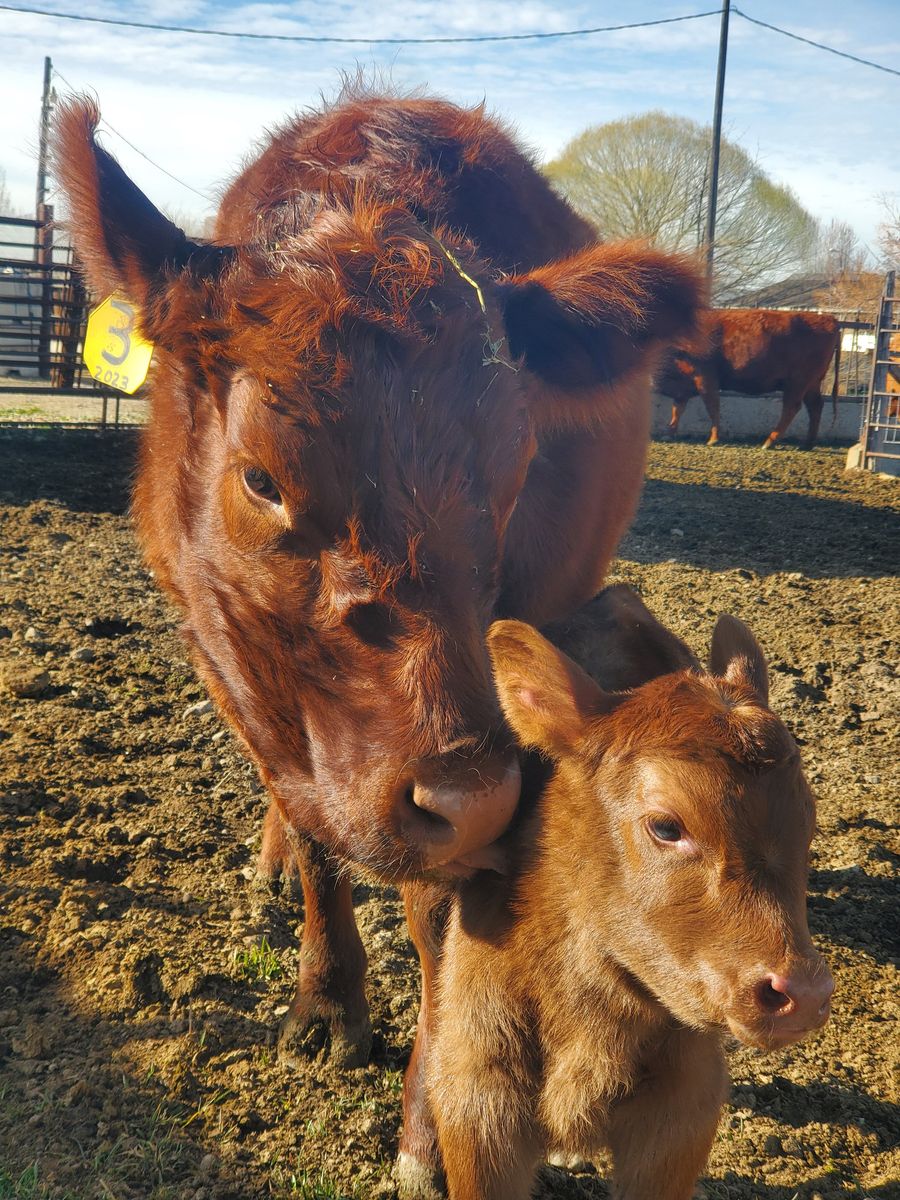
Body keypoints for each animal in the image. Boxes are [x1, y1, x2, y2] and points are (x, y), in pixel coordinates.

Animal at [54, 87, 703, 1197]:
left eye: (517, 469)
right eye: (262, 478)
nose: (473, 797)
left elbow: (448, 920)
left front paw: (431, 1127)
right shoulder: (235, 667)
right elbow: (318, 840)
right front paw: (325, 1003)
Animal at [658, 308, 841, 448]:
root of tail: (828, 318)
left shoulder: (705, 378)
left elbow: (712, 407)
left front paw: (713, 439)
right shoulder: (684, 388)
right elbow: (677, 409)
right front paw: (669, 432)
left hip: (797, 383)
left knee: (791, 407)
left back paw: (769, 442)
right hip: (811, 384)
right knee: (815, 406)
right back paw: (807, 444)